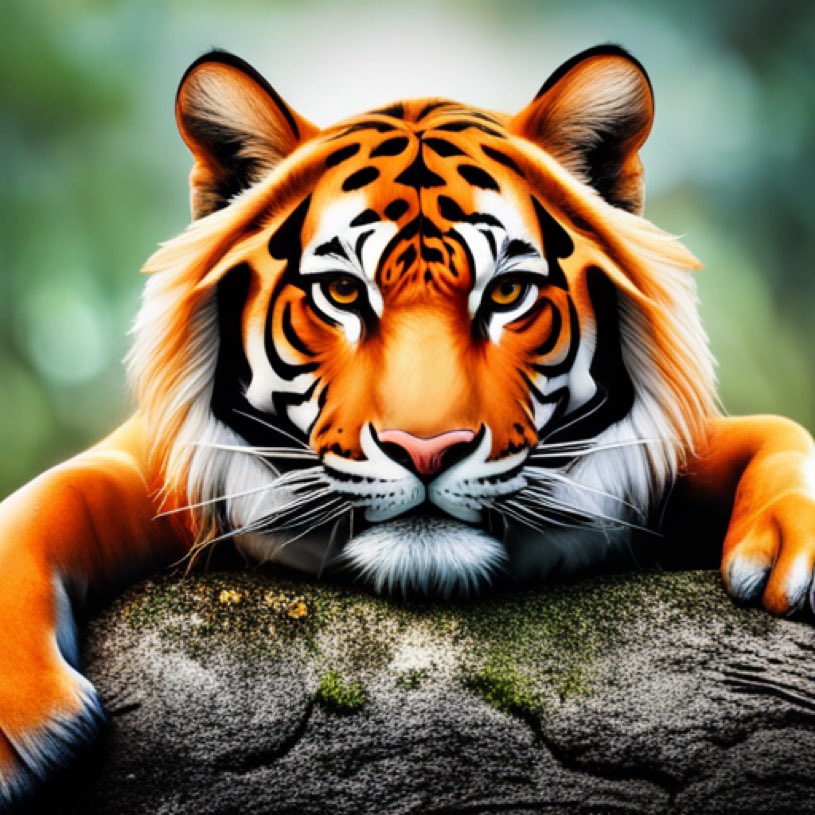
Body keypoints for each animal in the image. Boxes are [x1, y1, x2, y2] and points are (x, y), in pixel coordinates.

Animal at [1, 44, 814, 804]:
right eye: (340, 291)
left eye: (507, 293)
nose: (426, 450)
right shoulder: (152, 462)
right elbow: (45, 500)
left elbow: (779, 431)